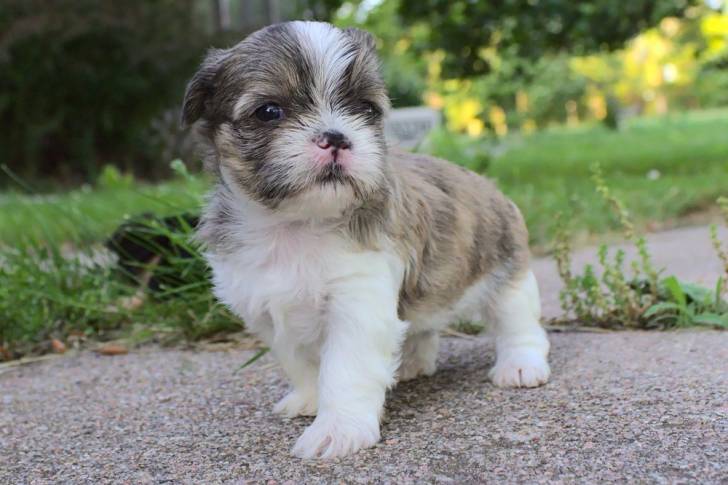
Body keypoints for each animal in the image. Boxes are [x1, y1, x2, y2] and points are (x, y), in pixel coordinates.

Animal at [183, 21, 552, 458]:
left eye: (367, 109)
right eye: (269, 111)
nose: (337, 137)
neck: (295, 224)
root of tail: (489, 185)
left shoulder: (357, 304)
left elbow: (345, 371)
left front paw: (338, 428)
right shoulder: (265, 311)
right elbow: (300, 361)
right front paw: (309, 397)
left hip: (508, 273)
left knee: (518, 321)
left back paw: (521, 364)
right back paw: (412, 363)